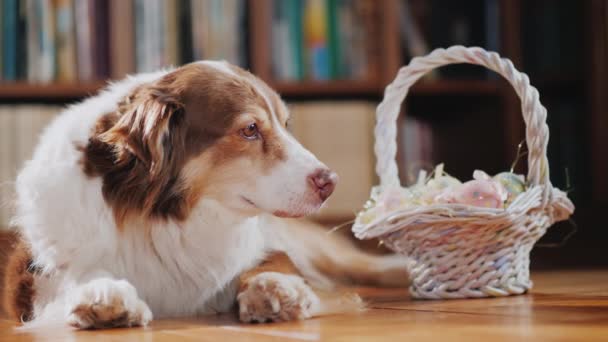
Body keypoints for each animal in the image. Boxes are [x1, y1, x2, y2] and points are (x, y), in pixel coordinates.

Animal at [2, 61, 408, 328]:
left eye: (285, 124)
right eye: (249, 129)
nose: (331, 182)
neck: (170, 216)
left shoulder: (265, 245)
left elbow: (277, 263)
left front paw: (275, 288)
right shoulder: (34, 276)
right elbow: (80, 275)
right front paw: (104, 294)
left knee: (365, 265)